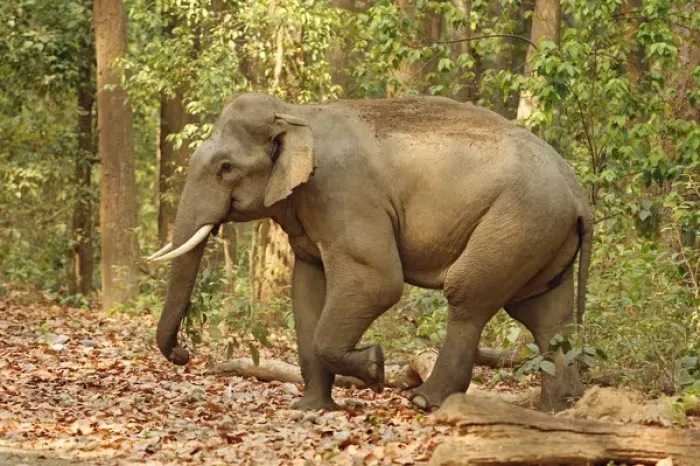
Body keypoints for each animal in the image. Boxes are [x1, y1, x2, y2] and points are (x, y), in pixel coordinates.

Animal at [149, 92, 593, 412]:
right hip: (542, 235)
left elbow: (377, 282)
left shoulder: (345, 194)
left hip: (518, 221)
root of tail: (579, 195)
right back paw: (558, 408)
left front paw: (375, 367)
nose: (183, 354)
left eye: (225, 168)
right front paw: (310, 409)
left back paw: (424, 401)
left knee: (468, 295)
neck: (295, 113)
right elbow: (306, 290)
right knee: (546, 315)